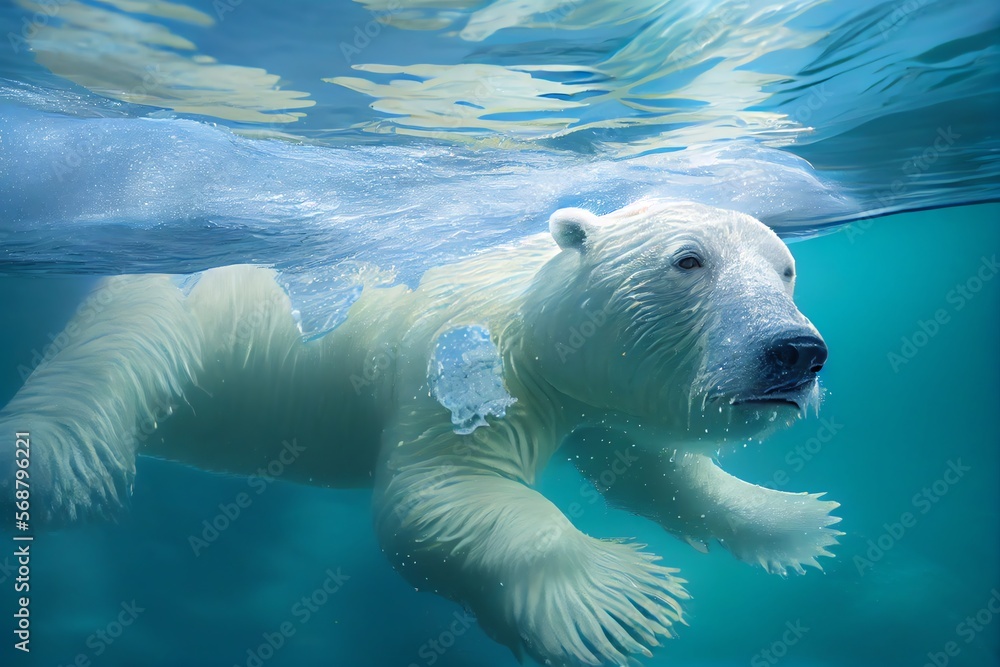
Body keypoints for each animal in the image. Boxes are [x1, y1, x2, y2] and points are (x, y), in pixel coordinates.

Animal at [0, 200, 842, 667]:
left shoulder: (587, 392)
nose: (795, 351)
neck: (530, 308)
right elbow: (438, 496)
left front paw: (794, 520)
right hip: (174, 304)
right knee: (107, 371)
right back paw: (56, 465)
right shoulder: (467, 358)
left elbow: (651, 465)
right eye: (688, 260)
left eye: (786, 267)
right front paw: (620, 598)